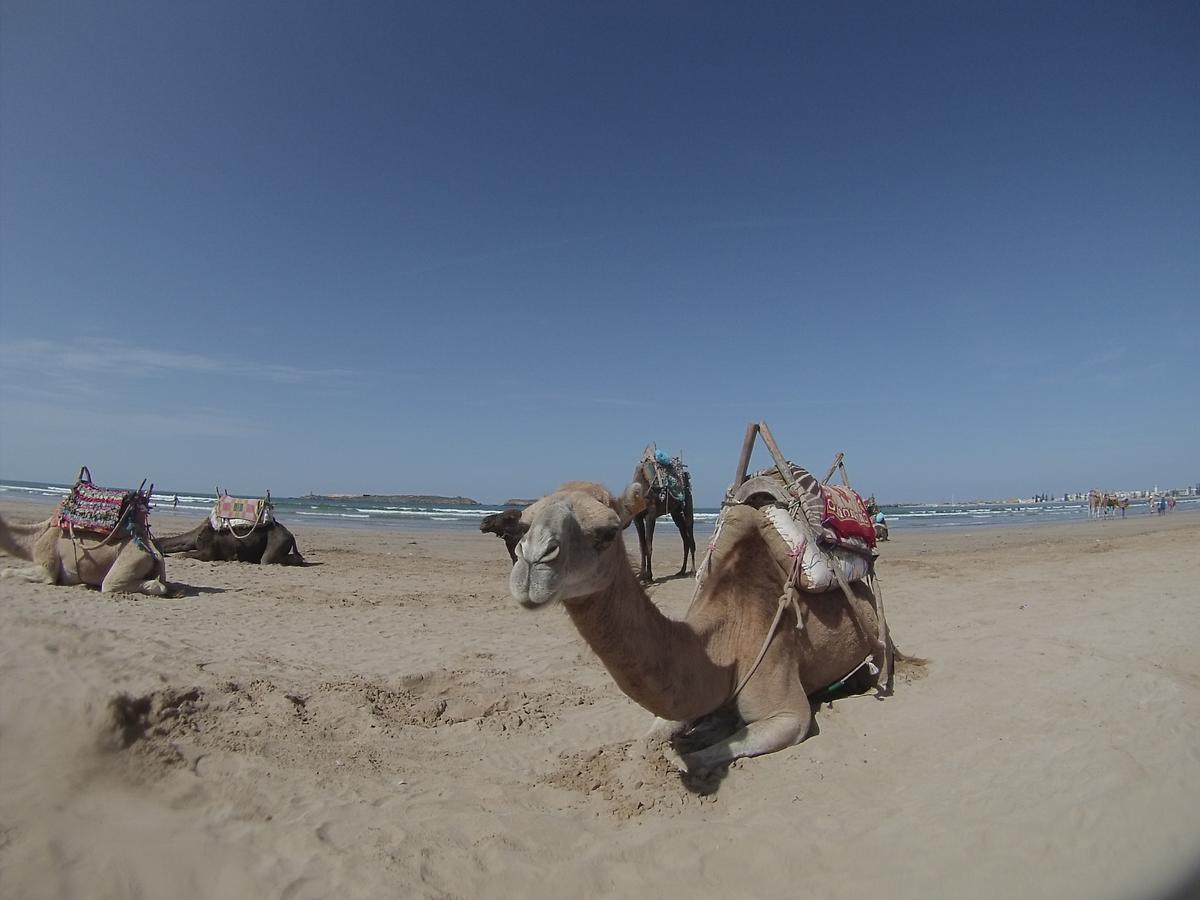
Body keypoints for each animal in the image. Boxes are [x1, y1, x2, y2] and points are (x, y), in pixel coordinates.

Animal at [0, 518, 171, 595]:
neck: (35, 538)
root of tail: (154, 550)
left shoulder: (46, 564)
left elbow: (5, 572)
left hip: (132, 559)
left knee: (110, 584)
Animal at [506, 482, 892, 772]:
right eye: (523, 525)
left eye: (608, 531)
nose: (532, 561)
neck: (726, 638)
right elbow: (649, 738)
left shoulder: (789, 712)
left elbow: (703, 755)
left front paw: (690, 748)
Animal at [628, 446, 696, 585]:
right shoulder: (637, 518)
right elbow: (642, 546)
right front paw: (641, 576)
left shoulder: (650, 515)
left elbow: (648, 545)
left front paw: (649, 576)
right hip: (676, 513)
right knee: (685, 538)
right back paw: (681, 571)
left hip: (688, 501)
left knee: (690, 534)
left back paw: (693, 571)